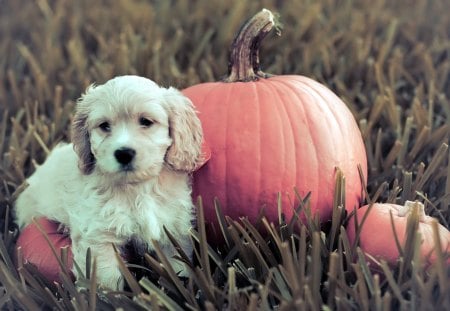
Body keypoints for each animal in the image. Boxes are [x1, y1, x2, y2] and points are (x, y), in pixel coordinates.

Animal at [14, 75, 204, 290]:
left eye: (146, 122)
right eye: (104, 125)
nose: (123, 153)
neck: (136, 188)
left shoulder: (172, 226)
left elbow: (178, 264)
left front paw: (185, 285)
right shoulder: (99, 235)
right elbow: (106, 278)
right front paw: (106, 295)